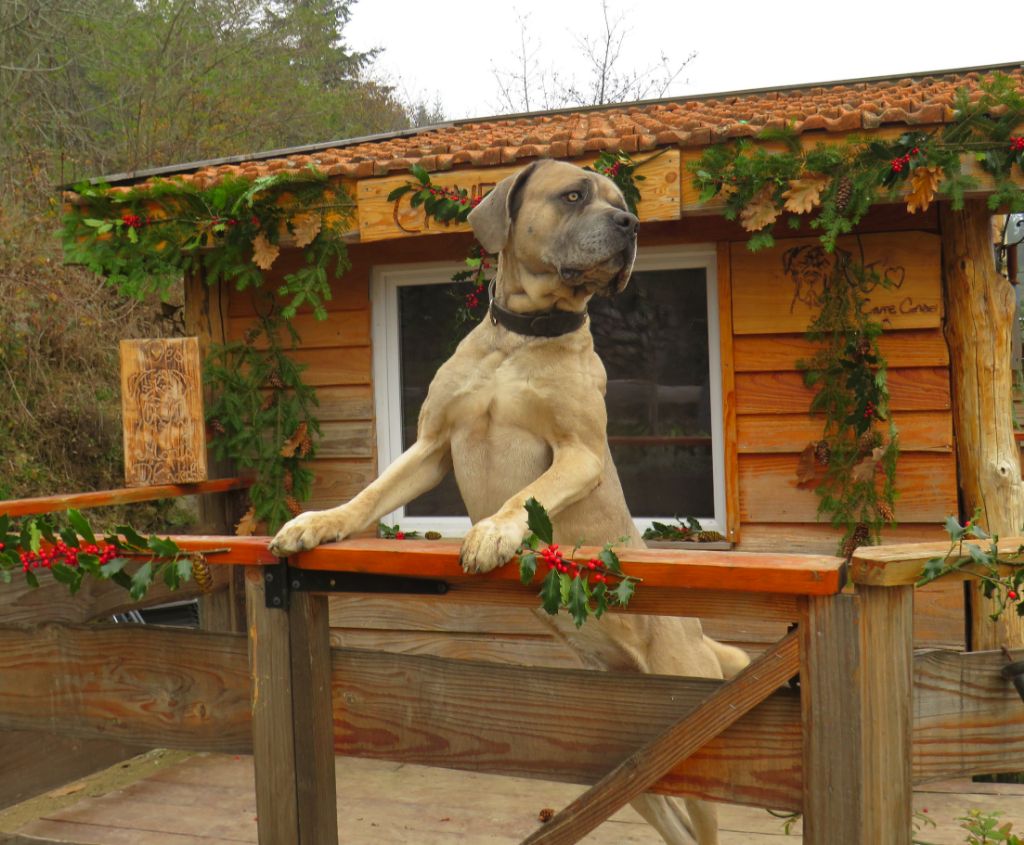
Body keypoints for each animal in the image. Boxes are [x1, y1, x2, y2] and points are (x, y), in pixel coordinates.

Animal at [272, 159, 749, 843]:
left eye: (622, 201)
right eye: (574, 196)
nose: (631, 224)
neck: (522, 339)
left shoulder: (579, 452)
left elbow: (528, 495)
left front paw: (493, 532)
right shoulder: (432, 446)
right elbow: (370, 495)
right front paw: (317, 522)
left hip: (698, 743)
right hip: (636, 766)